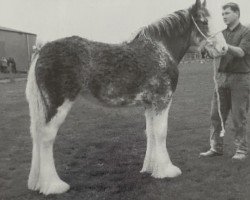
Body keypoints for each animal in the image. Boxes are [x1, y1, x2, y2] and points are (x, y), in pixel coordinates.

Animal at [25, 0, 229, 195]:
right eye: (204, 21)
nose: (224, 48)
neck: (160, 50)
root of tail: (42, 49)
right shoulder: (162, 101)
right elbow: (161, 132)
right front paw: (167, 170)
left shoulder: (149, 104)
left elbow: (150, 133)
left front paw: (151, 168)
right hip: (58, 104)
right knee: (46, 137)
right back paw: (53, 185)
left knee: (36, 135)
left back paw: (38, 183)